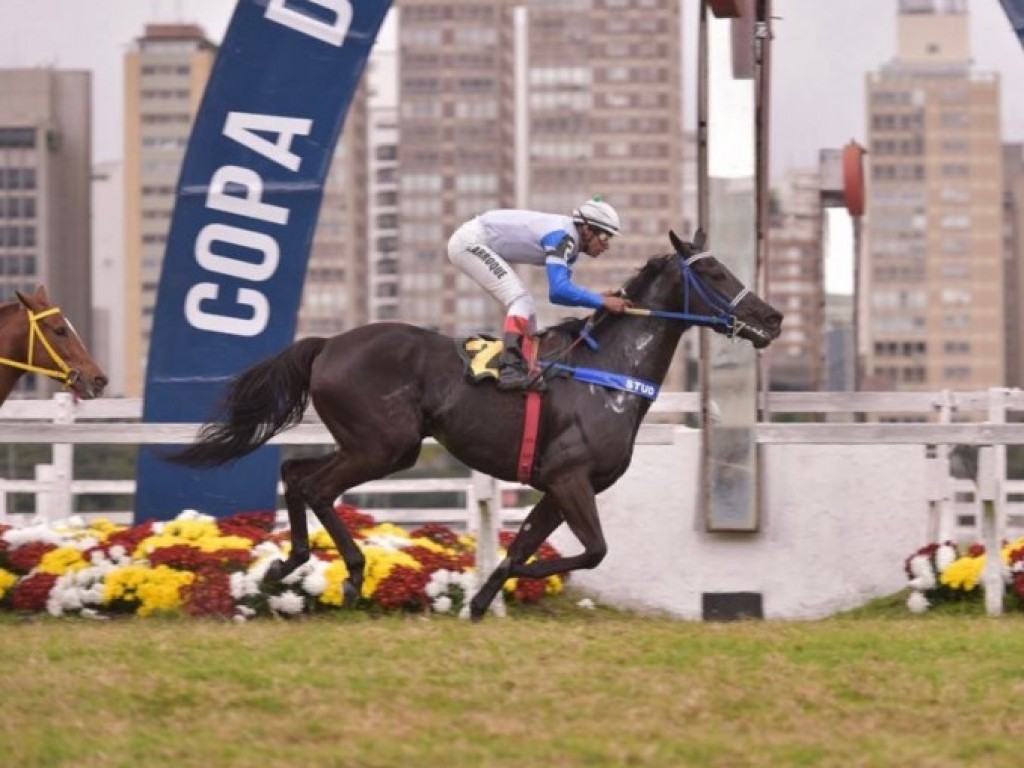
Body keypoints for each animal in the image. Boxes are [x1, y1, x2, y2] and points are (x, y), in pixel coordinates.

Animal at [167, 228, 778, 618]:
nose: (771, 317)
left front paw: (484, 601)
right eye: (716, 272)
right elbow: (591, 551)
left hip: (374, 445)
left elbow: (524, 544)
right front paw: (520, 583)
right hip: (384, 446)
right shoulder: (570, 477)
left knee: (295, 473)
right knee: (316, 487)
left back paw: (287, 564)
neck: (607, 370)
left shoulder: (557, 486)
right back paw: (353, 574)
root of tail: (328, 343)